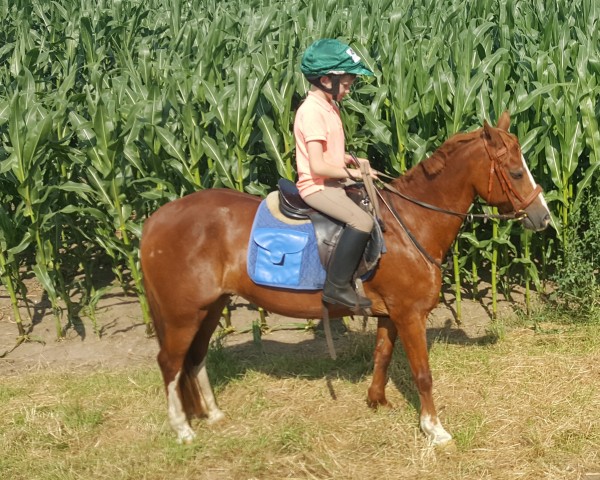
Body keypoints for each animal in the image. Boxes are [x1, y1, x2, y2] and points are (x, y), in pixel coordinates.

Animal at [139, 110, 548, 444]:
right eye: (515, 172)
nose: (543, 217)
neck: (409, 225)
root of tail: (155, 220)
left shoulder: (390, 314)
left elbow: (382, 355)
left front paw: (377, 401)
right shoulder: (410, 315)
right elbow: (422, 373)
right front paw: (435, 429)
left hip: (210, 308)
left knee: (195, 358)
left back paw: (213, 414)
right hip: (181, 314)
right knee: (170, 363)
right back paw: (183, 429)